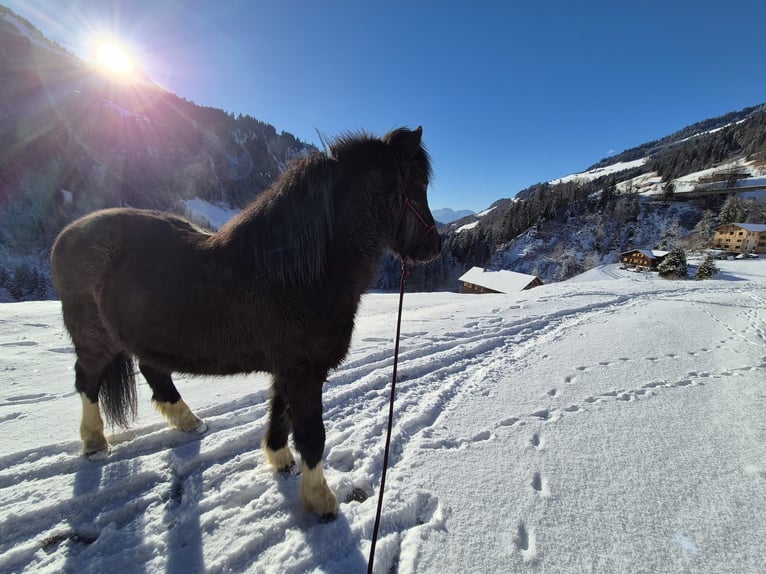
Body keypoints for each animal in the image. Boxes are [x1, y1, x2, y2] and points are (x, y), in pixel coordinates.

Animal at [50, 126, 441, 517]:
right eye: (418, 183)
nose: (435, 247)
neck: (299, 272)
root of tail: (67, 235)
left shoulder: (287, 369)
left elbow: (279, 413)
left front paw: (280, 459)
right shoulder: (303, 372)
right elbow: (312, 435)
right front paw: (321, 500)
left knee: (154, 373)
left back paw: (189, 423)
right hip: (95, 339)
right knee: (87, 380)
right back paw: (95, 443)